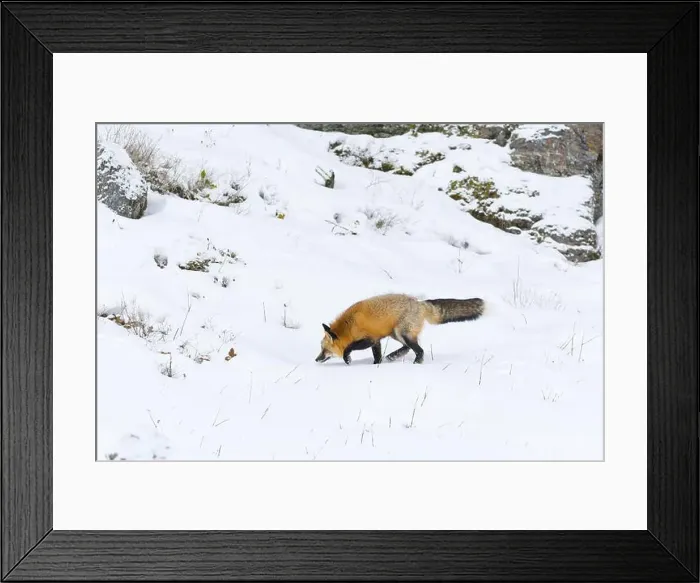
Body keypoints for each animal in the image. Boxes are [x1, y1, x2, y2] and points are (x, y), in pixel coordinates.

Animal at [315, 293, 485, 365]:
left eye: (324, 350)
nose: (316, 359)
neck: (350, 326)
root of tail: (420, 303)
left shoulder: (369, 338)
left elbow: (348, 348)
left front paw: (347, 359)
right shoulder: (376, 340)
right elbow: (377, 356)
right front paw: (375, 365)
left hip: (402, 332)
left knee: (419, 350)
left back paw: (416, 363)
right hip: (396, 334)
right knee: (407, 348)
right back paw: (393, 356)